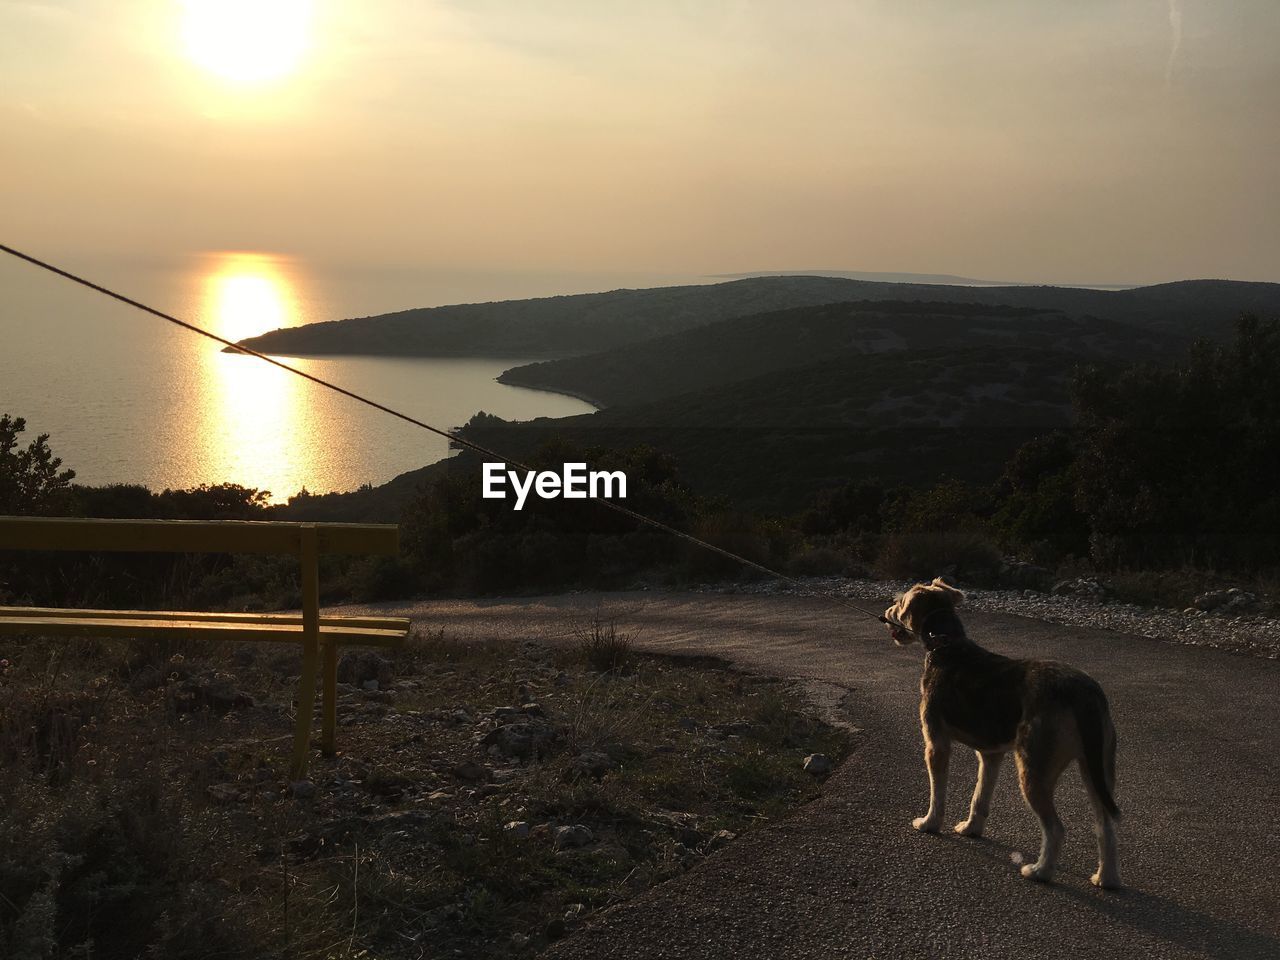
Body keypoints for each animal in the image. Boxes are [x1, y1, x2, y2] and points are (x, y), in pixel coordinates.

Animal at [885, 576, 1116, 890]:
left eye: (899, 603)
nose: (886, 612)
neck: (946, 643)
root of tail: (1084, 693)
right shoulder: (990, 755)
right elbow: (979, 797)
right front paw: (971, 828)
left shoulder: (936, 744)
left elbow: (937, 794)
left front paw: (929, 823)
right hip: (1097, 770)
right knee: (1106, 825)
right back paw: (1106, 877)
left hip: (1033, 770)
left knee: (1055, 829)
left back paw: (1040, 871)